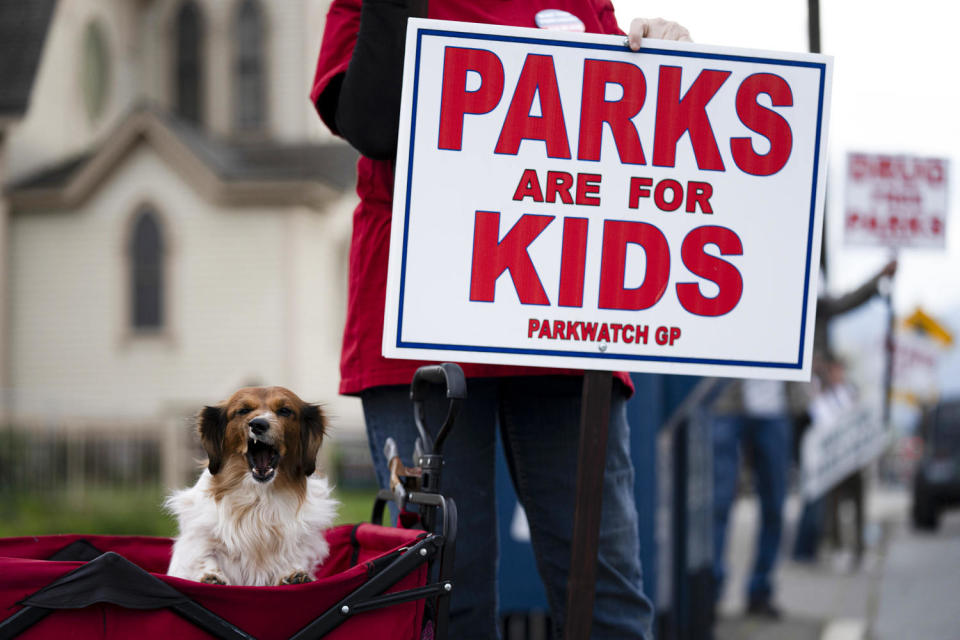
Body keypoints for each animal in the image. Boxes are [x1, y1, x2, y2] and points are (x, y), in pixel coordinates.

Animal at [167, 384, 340, 584]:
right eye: (243, 410)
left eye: (284, 410)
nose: (258, 424)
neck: (259, 495)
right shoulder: (201, 538)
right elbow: (205, 556)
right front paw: (211, 576)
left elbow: (291, 557)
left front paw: (293, 574)